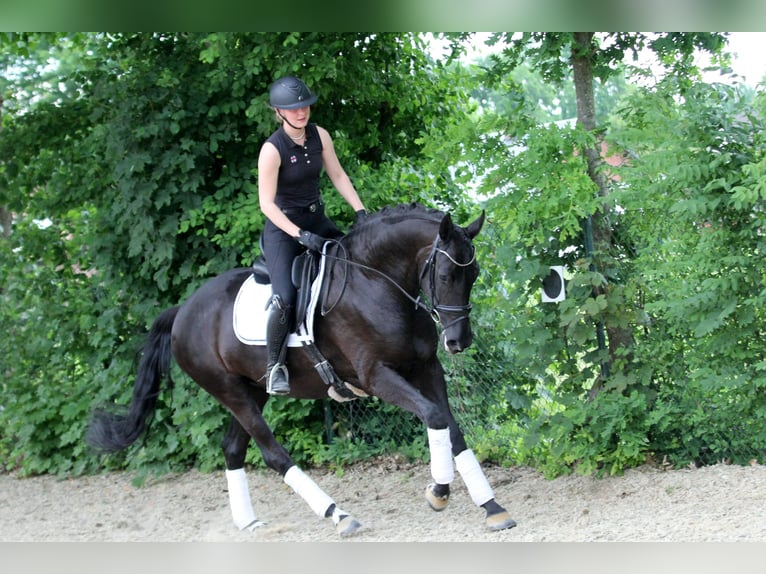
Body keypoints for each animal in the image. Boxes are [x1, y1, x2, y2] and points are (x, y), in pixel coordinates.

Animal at [87, 205, 520, 536]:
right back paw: (338, 515)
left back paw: (248, 523)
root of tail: (182, 311)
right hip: (229, 390)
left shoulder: (426, 368)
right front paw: (439, 492)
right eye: (446, 276)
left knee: (233, 449)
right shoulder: (377, 377)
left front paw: (492, 506)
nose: (459, 341)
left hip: (251, 389)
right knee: (272, 453)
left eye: (474, 274)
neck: (375, 281)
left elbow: (451, 428)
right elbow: (434, 417)